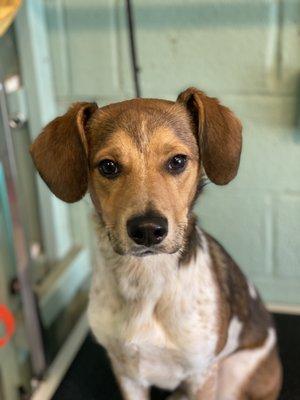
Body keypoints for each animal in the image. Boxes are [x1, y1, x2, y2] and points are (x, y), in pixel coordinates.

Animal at [29, 88, 282, 400]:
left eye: (177, 161)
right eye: (108, 166)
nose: (148, 230)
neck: (145, 279)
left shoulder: (201, 374)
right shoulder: (127, 374)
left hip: (232, 376)